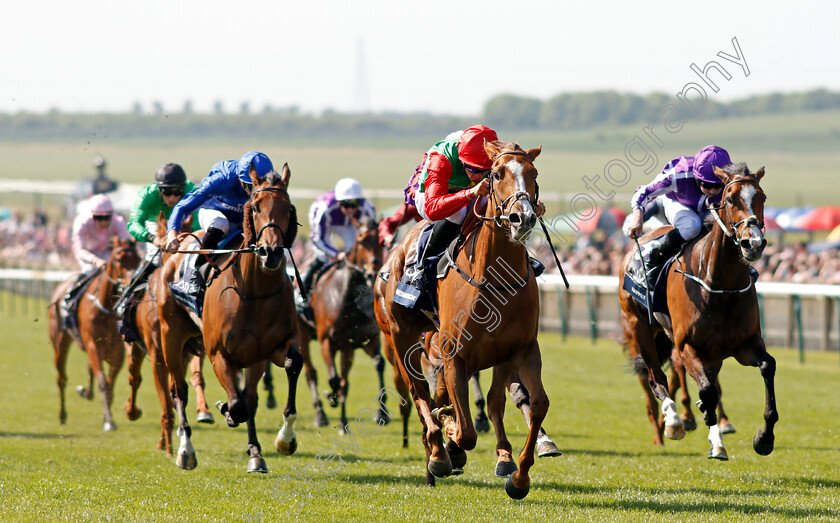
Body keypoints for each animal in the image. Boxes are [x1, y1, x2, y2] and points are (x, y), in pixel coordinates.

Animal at [47, 239, 139, 432]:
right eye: (118, 259)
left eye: (138, 259)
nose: (132, 283)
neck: (106, 311)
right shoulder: (93, 345)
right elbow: (103, 383)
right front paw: (109, 422)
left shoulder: (117, 351)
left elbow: (109, 385)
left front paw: (106, 418)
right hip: (60, 341)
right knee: (61, 377)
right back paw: (62, 415)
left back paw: (86, 392)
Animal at [156, 166, 304, 472]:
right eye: (256, 207)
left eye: (288, 208)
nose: (271, 252)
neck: (254, 293)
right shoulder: (218, 353)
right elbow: (237, 405)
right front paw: (225, 410)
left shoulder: (271, 349)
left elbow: (291, 366)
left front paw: (284, 439)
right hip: (170, 335)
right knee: (178, 391)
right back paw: (185, 450)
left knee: (250, 398)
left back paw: (255, 453)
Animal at [298, 215, 390, 432]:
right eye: (362, 240)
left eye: (381, 241)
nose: (373, 271)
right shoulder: (326, 342)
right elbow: (333, 379)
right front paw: (331, 399)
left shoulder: (360, 340)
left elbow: (376, 365)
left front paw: (380, 413)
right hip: (302, 335)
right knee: (311, 373)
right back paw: (320, 414)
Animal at [374, 140, 544, 500]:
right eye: (497, 174)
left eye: (534, 173)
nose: (522, 218)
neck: (495, 279)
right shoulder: (455, 355)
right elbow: (464, 431)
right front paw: (449, 438)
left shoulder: (519, 350)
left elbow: (531, 404)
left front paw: (517, 475)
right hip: (400, 339)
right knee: (419, 394)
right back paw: (437, 455)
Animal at [616, 162, 776, 460]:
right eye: (730, 199)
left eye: (762, 197)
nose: (753, 243)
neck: (719, 285)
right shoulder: (688, 345)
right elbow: (707, 390)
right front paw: (695, 419)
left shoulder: (744, 345)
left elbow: (766, 366)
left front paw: (764, 438)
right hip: (639, 327)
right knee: (656, 379)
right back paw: (672, 423)